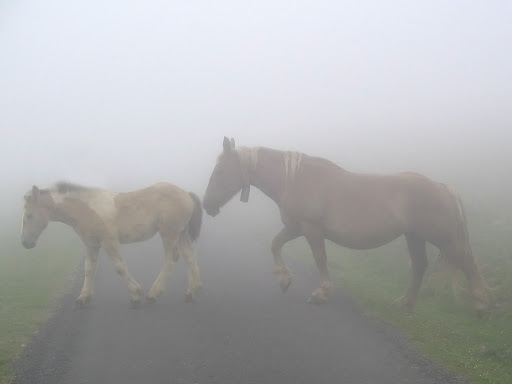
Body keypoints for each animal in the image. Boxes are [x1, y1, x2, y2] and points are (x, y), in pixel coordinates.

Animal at [21, 182, 202, 306]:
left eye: (29, 215)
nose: (25, 243)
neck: (86, 208)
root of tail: (186, 194)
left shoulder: (109, 241)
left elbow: (119, 267)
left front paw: (135, 294)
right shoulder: (91, 244)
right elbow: (89, 269)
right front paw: (83, 297)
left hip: (169, 233)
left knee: (172, 258)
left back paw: (154, 294)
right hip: (181, 233)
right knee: (189, 256)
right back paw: (192, 292)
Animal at [202, 136, 490, 314]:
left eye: (219, 172)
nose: (206, 205)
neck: (295, 178)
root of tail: (444, 188)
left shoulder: (311, 229)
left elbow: (320, 259)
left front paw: (321, 294)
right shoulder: (296, 227)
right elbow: (275, 244)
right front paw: (284, 280)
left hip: (444, 238)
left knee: (469, 263)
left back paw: (480, 307)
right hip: (414, 237)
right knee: (420, 266)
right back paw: (405, 304)